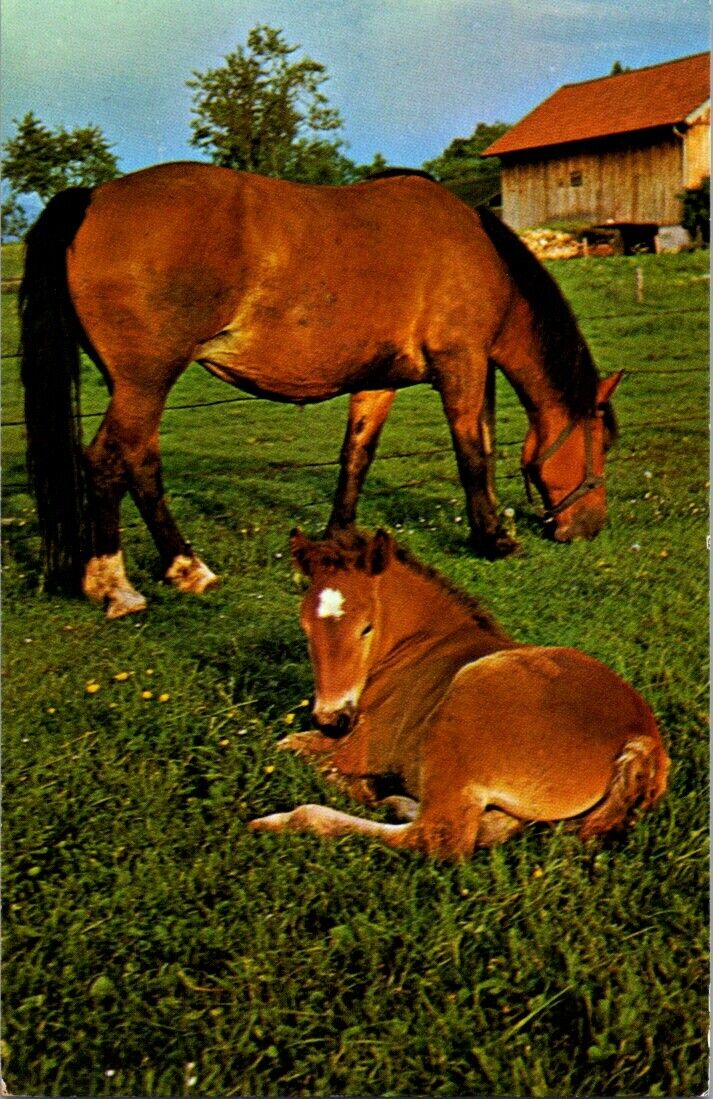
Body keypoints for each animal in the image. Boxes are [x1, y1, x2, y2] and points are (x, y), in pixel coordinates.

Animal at [19, 161, 619, 619]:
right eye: (605, 444)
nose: (588, 527)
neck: (478, 250)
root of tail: (93, 198)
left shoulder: (378, 383)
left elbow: (357, 456)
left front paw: (341, 538)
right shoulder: (463, 364)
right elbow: (474, 453)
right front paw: (494, 539)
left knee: (139, 463)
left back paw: (176, 571)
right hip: (145, 381)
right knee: (114, 461)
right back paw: (127, 583)